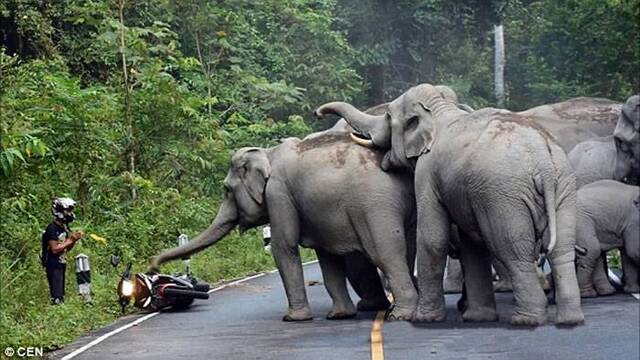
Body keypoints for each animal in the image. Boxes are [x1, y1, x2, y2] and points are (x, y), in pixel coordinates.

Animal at [151, 129, 420, 320]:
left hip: (374, 206)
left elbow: (283, 246)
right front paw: (339, 315)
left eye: (226, 189)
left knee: (385, 254)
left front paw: (292, 318)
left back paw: (400, 315)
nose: (153, 267)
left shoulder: (278, 194)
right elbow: (327, 257)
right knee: (408, 249)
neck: (267, 154)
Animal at [316, 84, 584, 326]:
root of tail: (544, 163)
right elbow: (470, 245)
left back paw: (526, 320)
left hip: (505, 196)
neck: (440, 110)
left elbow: (432, 238)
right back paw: (570, 319)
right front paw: (477, 318)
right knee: (562, 249)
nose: (318, 113)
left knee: (513, 250)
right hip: (563, 186)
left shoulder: (427, 172)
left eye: (389, 117)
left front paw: (425, 319)